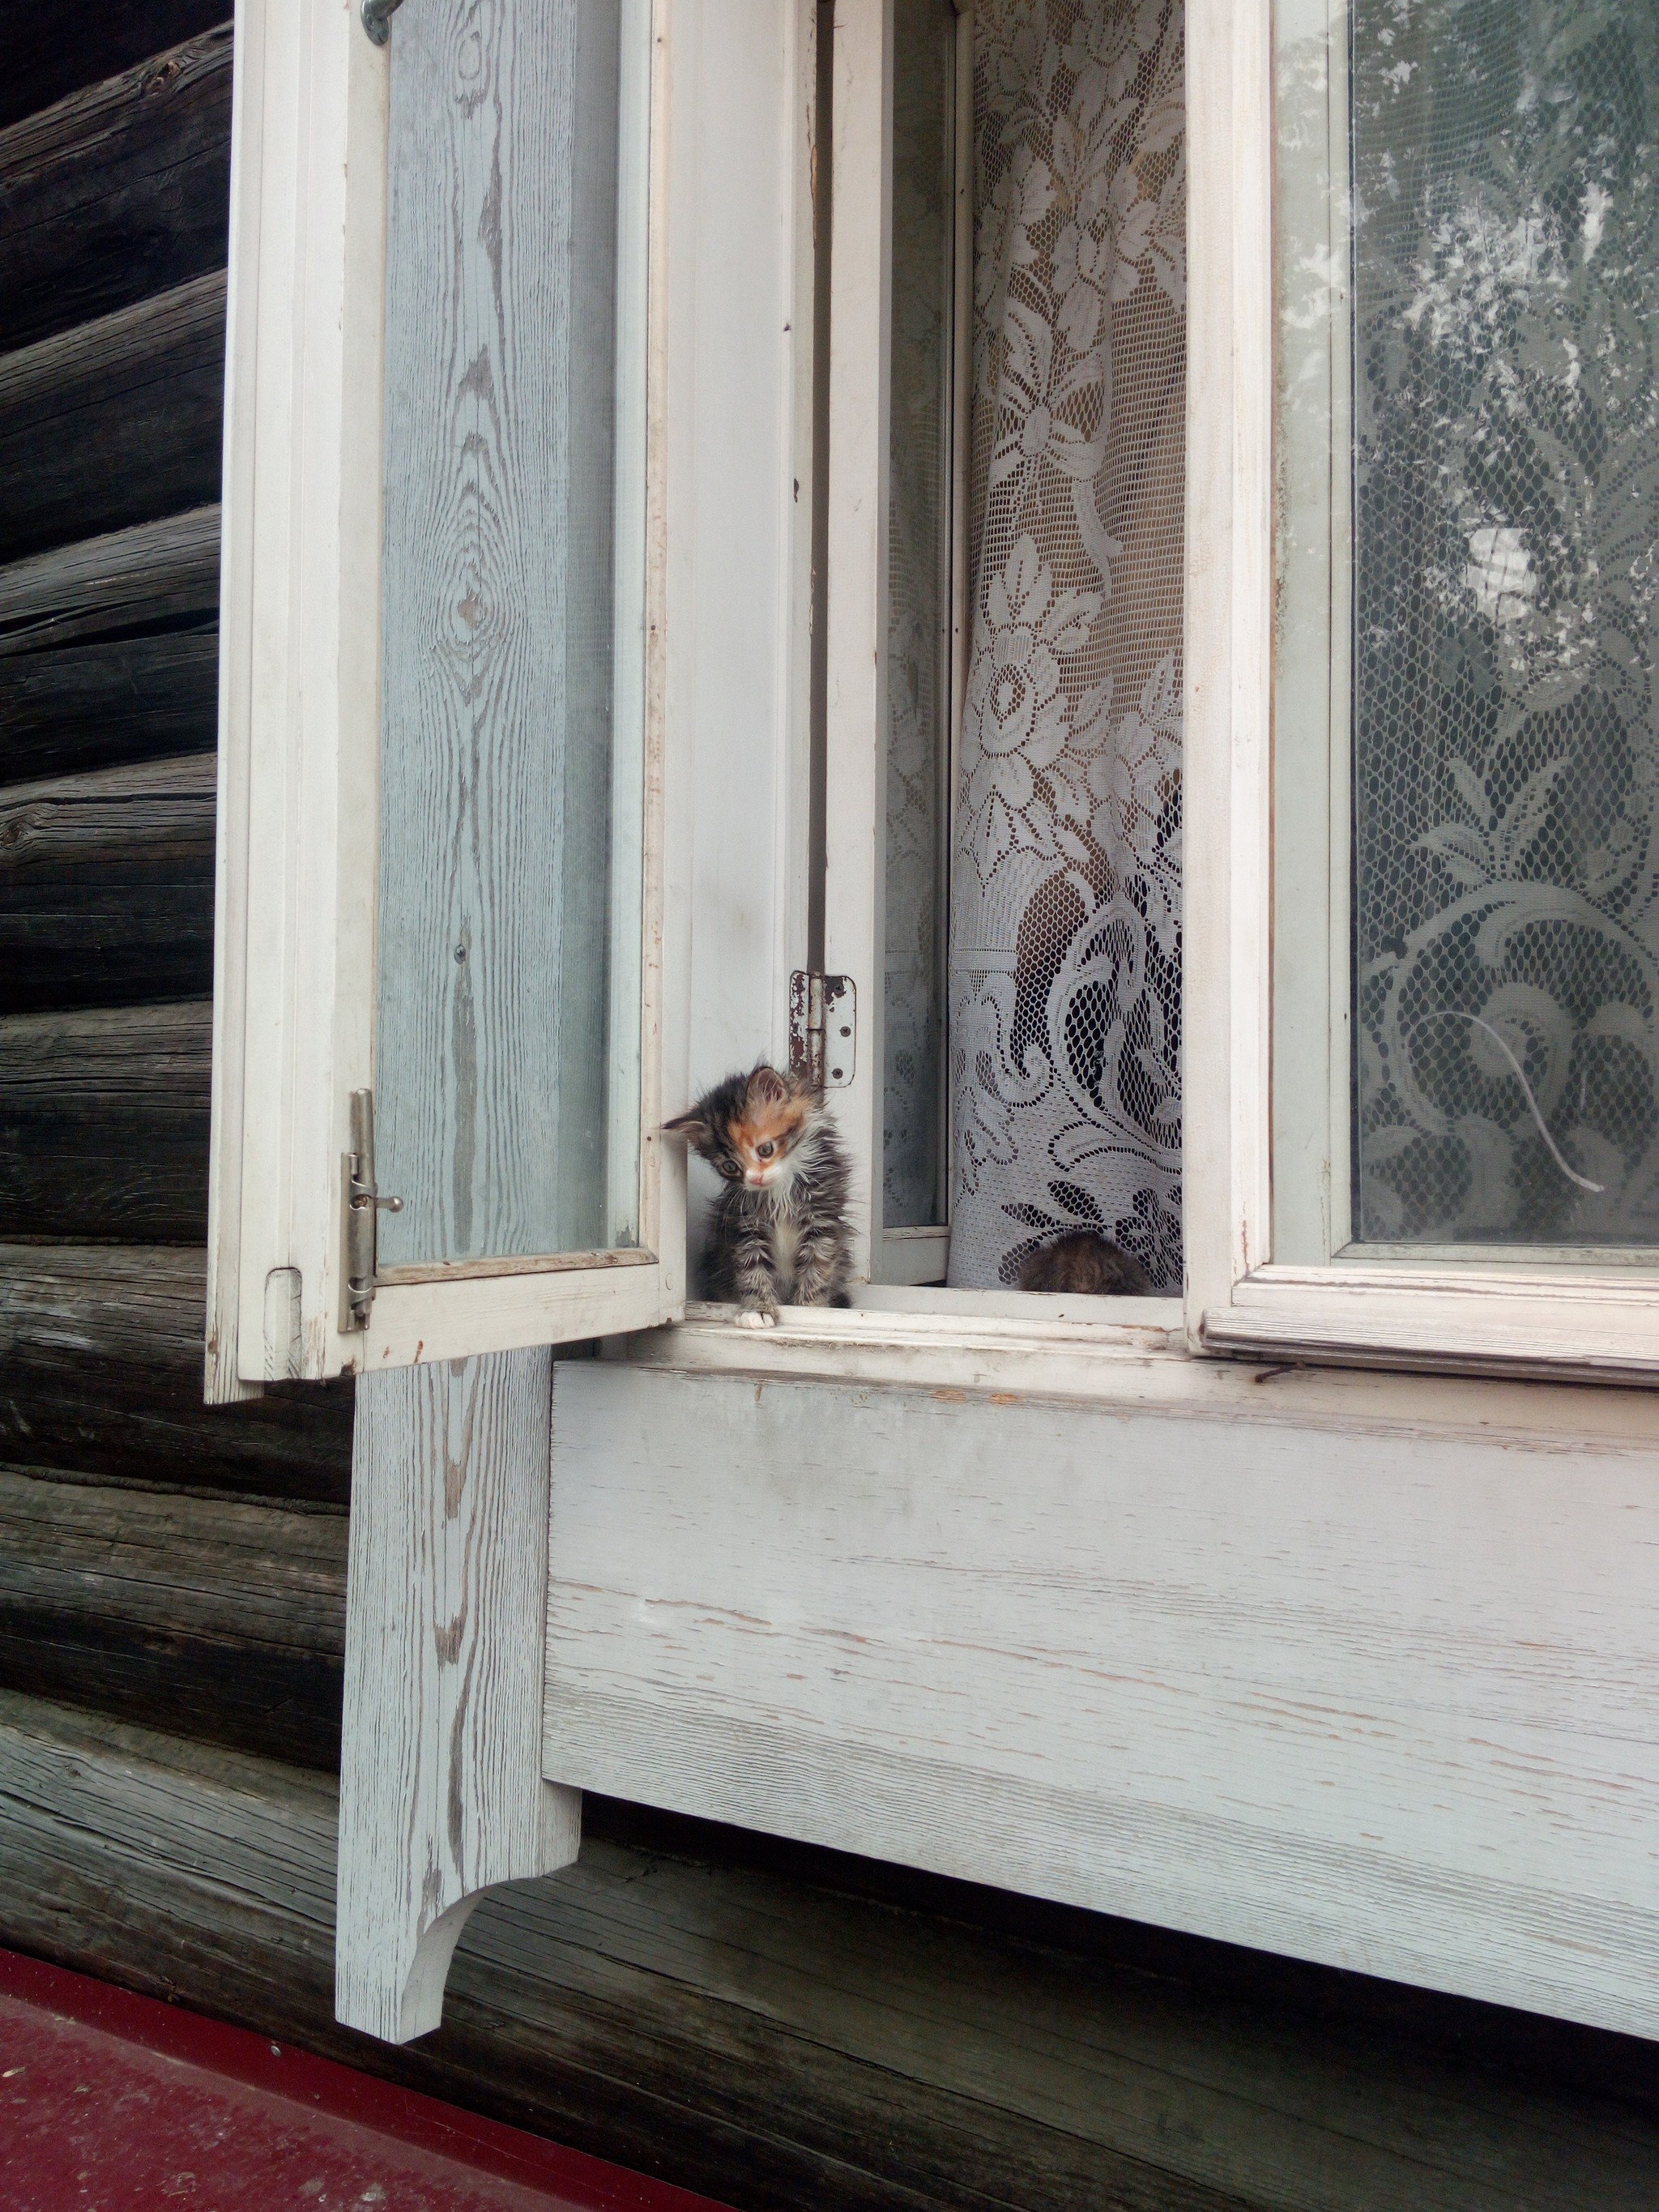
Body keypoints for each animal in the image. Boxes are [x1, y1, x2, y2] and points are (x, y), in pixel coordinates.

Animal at [663, 1061, 849, 1318]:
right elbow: (751, 1269)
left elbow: (817, 1269)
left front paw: (809, 1309)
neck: (780, 1191)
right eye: (730, 1166)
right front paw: (758, 1311)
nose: (756, 1179)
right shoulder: (744, 1227)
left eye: (765, 1150)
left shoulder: (822, 1221)